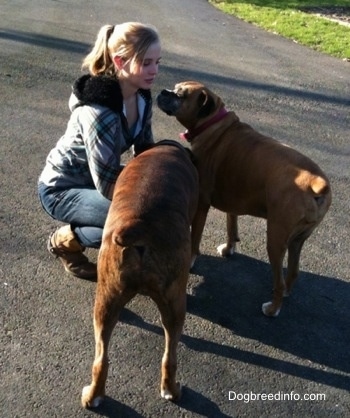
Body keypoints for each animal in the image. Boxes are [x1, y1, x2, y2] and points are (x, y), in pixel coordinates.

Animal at [80, 140, 198, 408]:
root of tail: (140, 225)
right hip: (175, 304)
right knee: (170, 356)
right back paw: (172, 391)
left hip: (107, 301)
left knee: (101, 359)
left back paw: (92, 396)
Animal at [157, 81, 332, 316]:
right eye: (175, 88)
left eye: (180, 95)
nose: (162, 91)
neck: (214, 124)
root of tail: (317, 182)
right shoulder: (233, 205)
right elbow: (232, 227)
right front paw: (229, 249)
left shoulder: (201, 206)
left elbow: (195, 239)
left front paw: (192, 260)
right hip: (298, 240)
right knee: (293, 271)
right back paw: (286, 292)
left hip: (275, 240)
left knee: (278, 280)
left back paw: (273, 308)